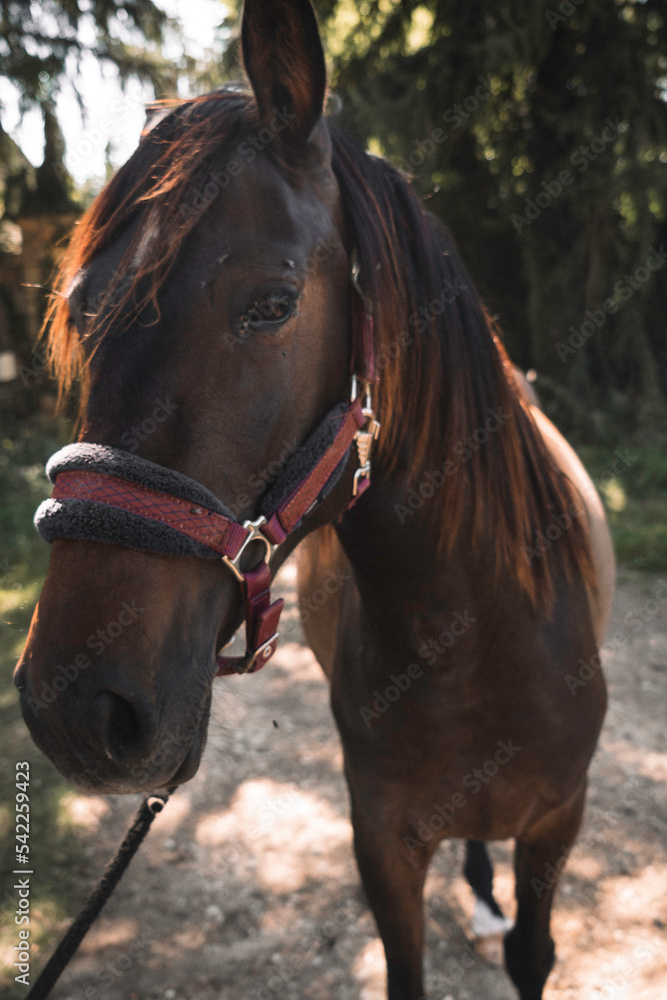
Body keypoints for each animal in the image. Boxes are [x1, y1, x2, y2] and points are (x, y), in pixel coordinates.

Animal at [14, 1, 615, 997]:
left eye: (272, 303)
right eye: (84, 309)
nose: (75, 709)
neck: (475, 643)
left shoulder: (556, 824)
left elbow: (532, 953)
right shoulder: (381, 842)